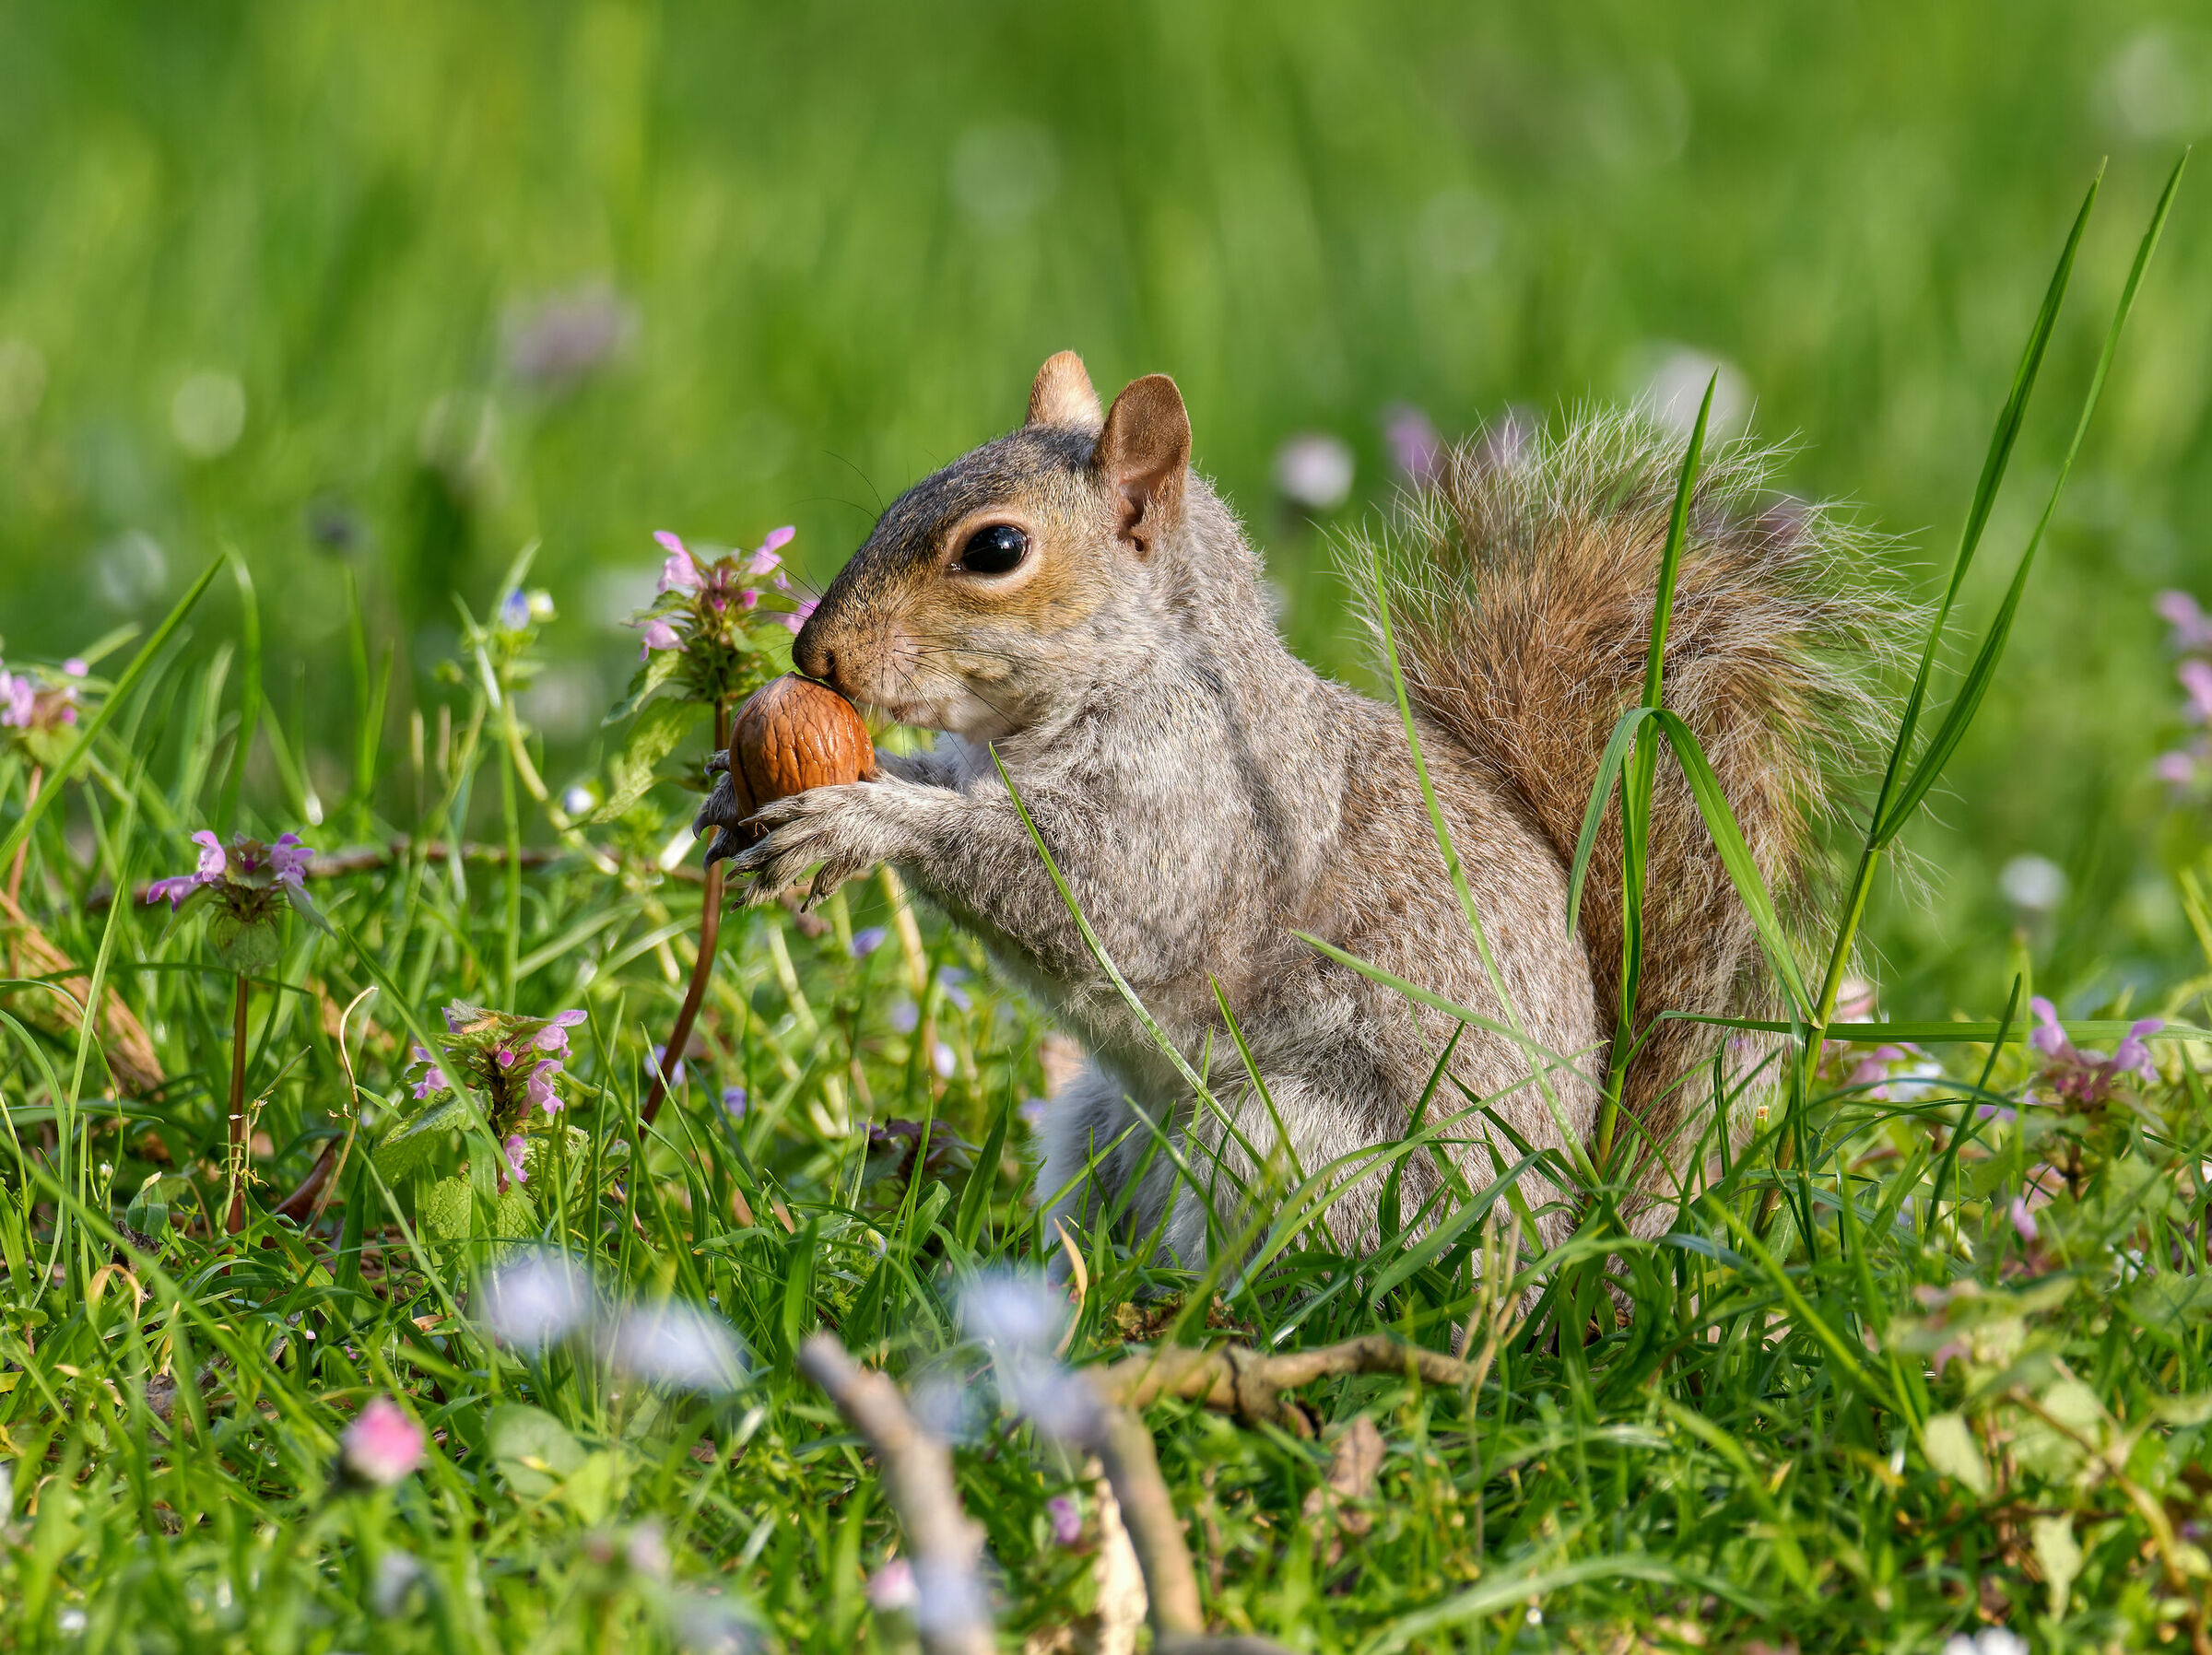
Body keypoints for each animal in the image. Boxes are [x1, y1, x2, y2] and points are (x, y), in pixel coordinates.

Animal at [694, 351, 1898, 1258]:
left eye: (995, 548)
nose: (814, 654)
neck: (1135, 673)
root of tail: (1560, 1244)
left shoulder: (1195, 809)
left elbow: (1095, 897)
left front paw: (861, 820)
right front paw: (745, 792)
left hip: (1297, 1145)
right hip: (1098, 1126)